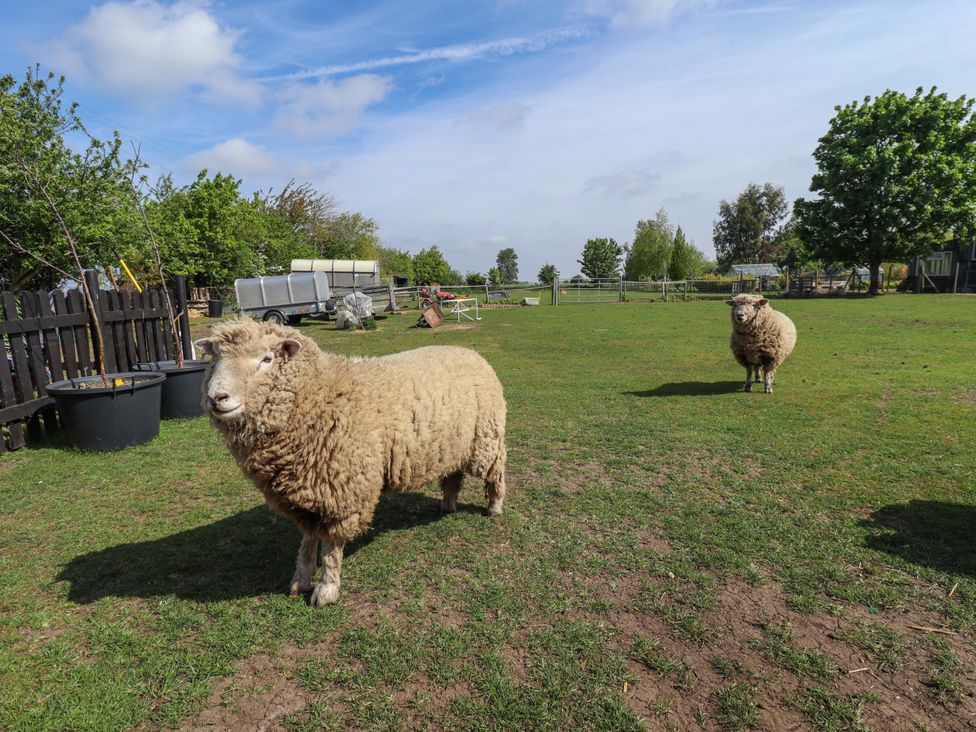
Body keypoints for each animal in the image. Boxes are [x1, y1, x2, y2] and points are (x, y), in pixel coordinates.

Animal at [194, 318, 507, 606]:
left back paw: (494, 507)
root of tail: (471, 353)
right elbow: (308, 542)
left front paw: (326, 590)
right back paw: (448, 506)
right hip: (451, 446)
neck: (319, 396)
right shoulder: (304, 494)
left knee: (496, 473)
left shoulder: (342, 492)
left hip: (486, 438)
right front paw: (300, 580)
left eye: (267, 359)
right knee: (453, 477)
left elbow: (331, 549)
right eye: (216, 358)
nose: (217, 397)